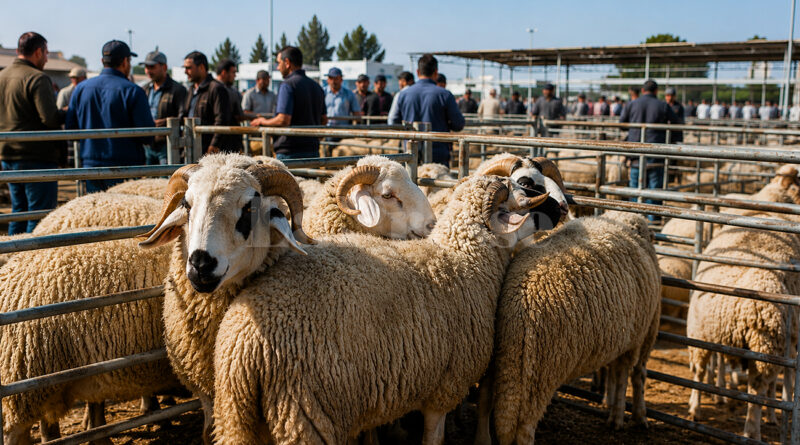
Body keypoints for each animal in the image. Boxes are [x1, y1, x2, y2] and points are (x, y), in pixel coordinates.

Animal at [210, 175, 563, 445]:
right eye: (517, 202)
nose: (559, 208)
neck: (463, 258)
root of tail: (243, 345)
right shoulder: (445, 387)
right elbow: (434, 437)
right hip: (306, 416)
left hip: (235, 418)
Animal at [478, 211, 661, 445]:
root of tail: (520, 307)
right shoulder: (636, 336)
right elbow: (625, 378)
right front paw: (619, 418)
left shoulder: (628, 337)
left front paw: (615, 414)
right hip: (543, 373)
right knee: (525, 428)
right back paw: (638, 416)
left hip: (511, 368)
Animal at [686, 166, 800, 441]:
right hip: (765, 341)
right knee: (756, 389)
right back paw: (752, 430)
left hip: (704, 331)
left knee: (699, 370)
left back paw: (696, 409)